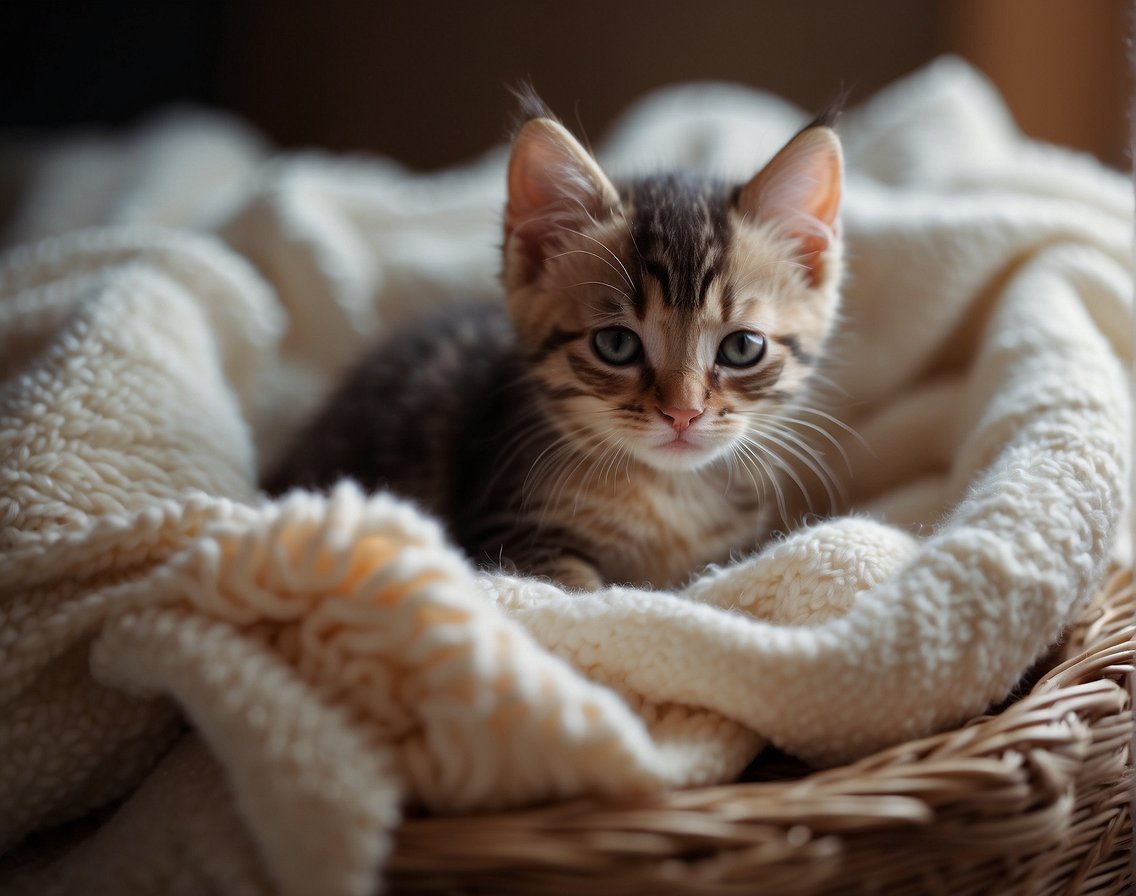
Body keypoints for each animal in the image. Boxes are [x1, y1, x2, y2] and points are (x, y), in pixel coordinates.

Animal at [265, 97, 845, 590]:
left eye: (742, 347)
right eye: (616, 344)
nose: (683, 413)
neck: (669, 497)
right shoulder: (507, 534)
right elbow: (574, 594)